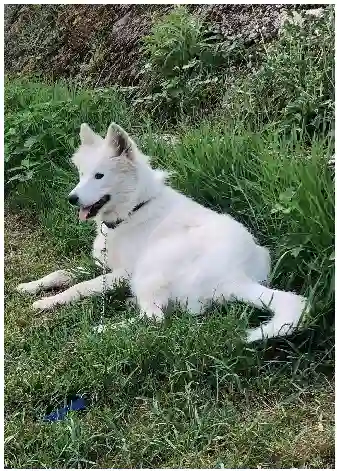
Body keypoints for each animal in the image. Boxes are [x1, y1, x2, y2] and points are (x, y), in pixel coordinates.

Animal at [17, 123, 308, 342]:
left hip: (150, 267)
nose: (72, 199)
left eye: (99, 176)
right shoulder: (102, 264)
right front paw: (29, 287)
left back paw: (100, 331)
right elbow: (61, 273)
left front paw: (49, 302)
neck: (134, 209)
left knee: (155, 320)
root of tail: (237, 277)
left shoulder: (123, 273)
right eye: (81, 174)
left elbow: (80, 287)